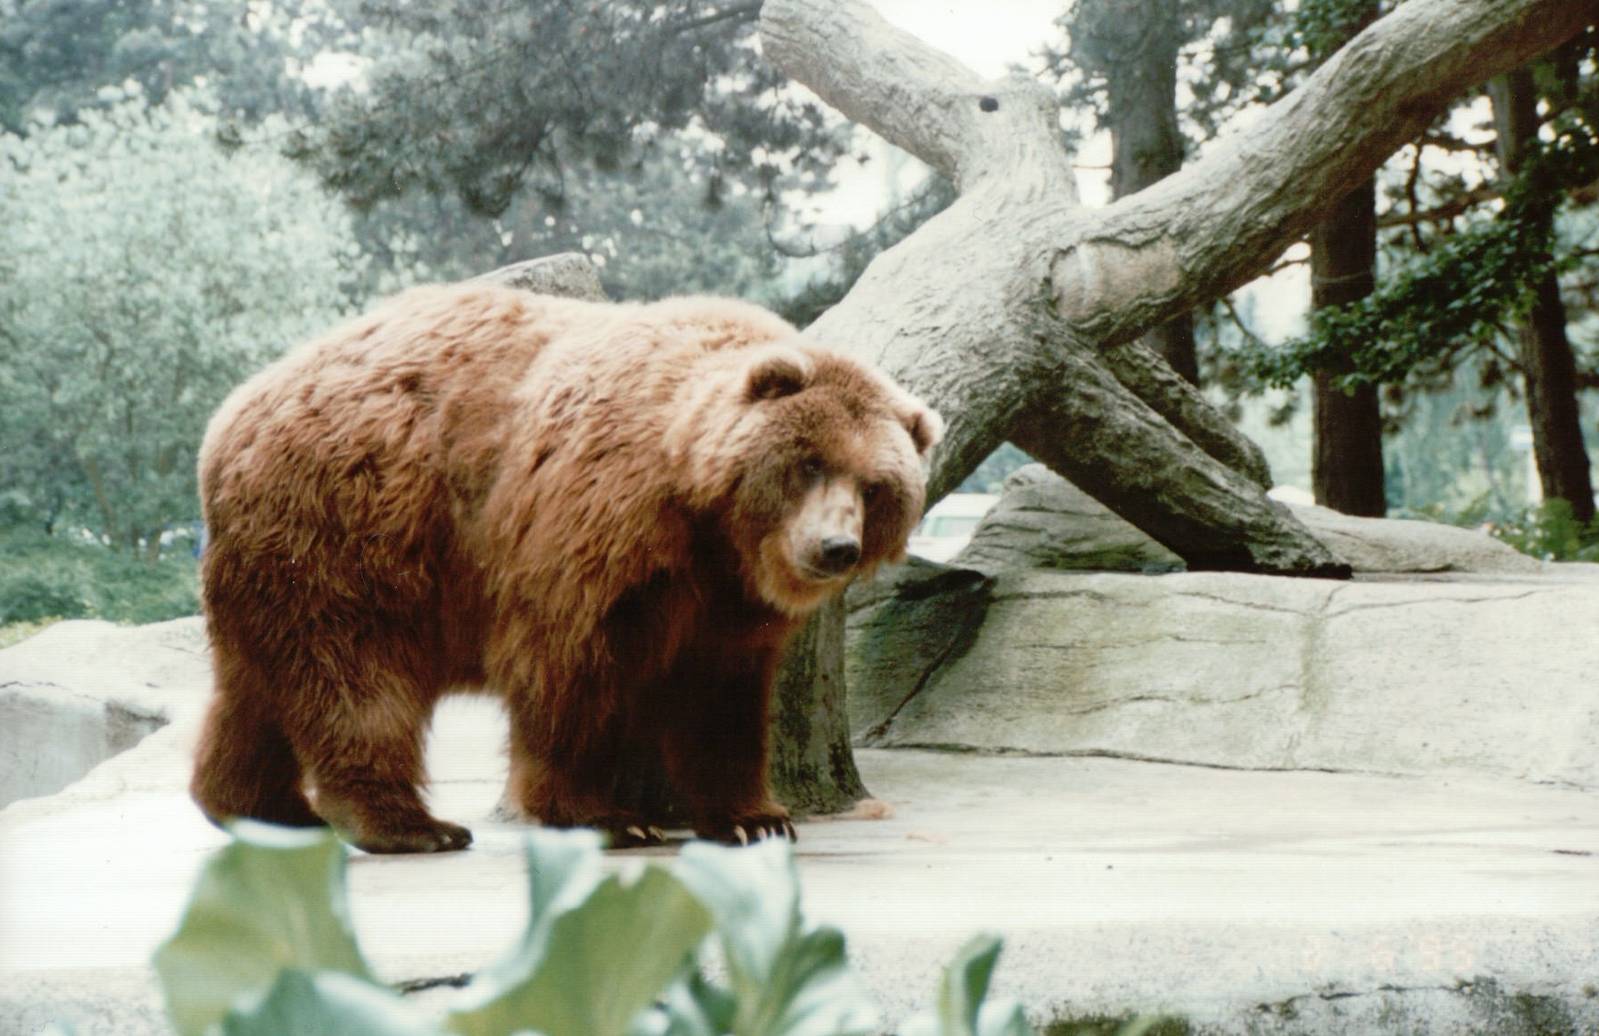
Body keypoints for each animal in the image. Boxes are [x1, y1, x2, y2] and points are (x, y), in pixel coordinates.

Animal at [189, 283, 941, 853]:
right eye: (809, 463)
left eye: (876, 486)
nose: (834, 547)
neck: (702, 510)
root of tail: (229, 417)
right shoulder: (596, 525)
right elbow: (571, 669)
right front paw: (607, 815)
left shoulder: (724, 599)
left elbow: (719, 695)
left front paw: (753, 817)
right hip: (352, 524)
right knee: (358, 677)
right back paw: (409, 824)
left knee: (257, 689)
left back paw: (256, 806)